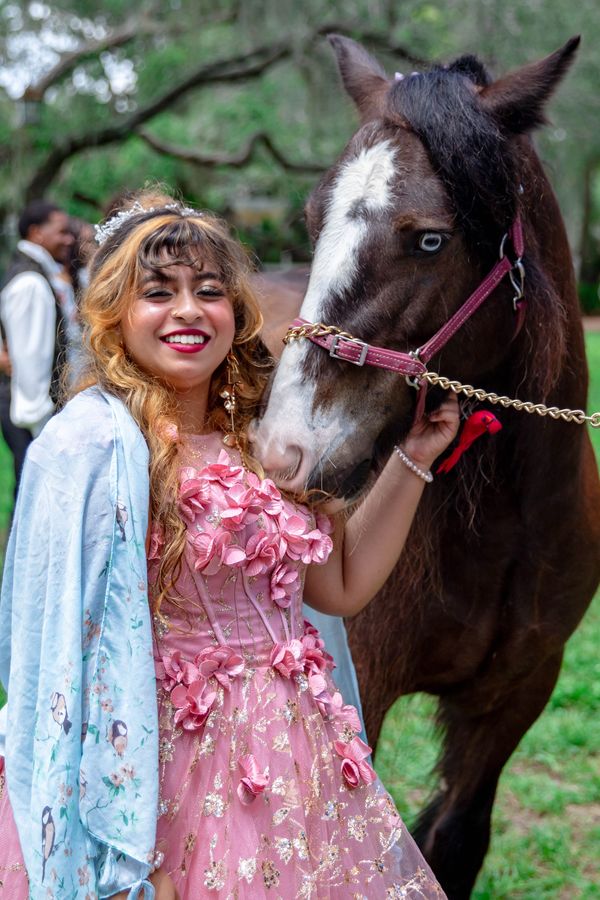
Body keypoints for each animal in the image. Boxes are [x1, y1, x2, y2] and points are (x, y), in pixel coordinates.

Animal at [251, 37, 600, 900]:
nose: (283, 451)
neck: (505, 522)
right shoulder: (364, 685)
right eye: (312, 221)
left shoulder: (517, 693)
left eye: (431, 239)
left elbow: (455, 841)